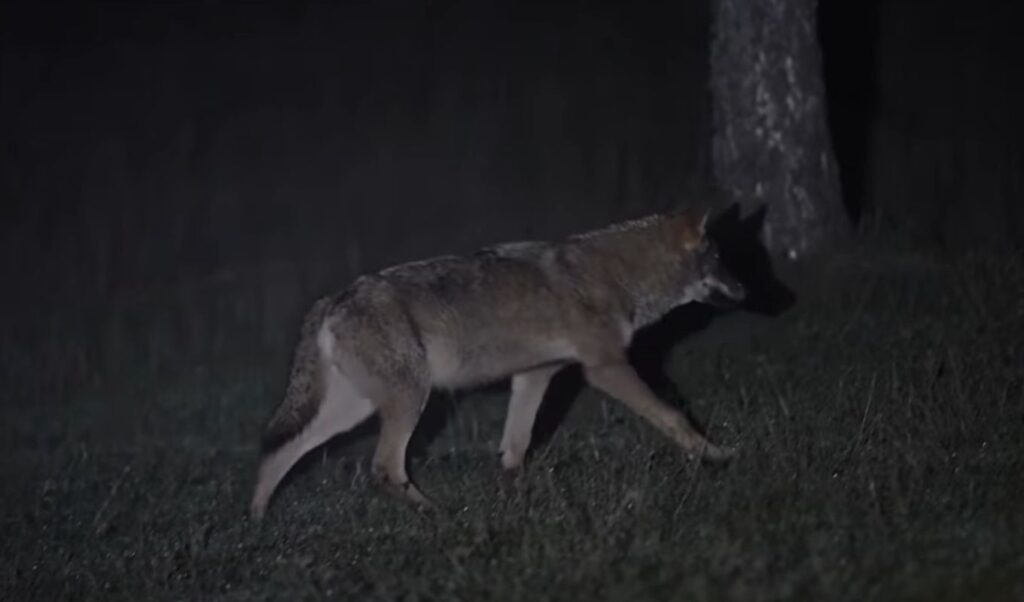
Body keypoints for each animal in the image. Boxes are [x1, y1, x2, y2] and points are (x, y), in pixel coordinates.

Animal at [250, 210, 746, 520]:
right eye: (721, 260)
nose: (747, 290)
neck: (619, 275)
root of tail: (333, 298)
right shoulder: (605, 368)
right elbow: (674, 416)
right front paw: (719, 456)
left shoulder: (534, 376)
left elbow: (515, 447)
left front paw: (519, 496)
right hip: (410, 400)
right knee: (384, 467)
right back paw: (441, 515)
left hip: (353, 412)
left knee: (278, 453)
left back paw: (257, 524)